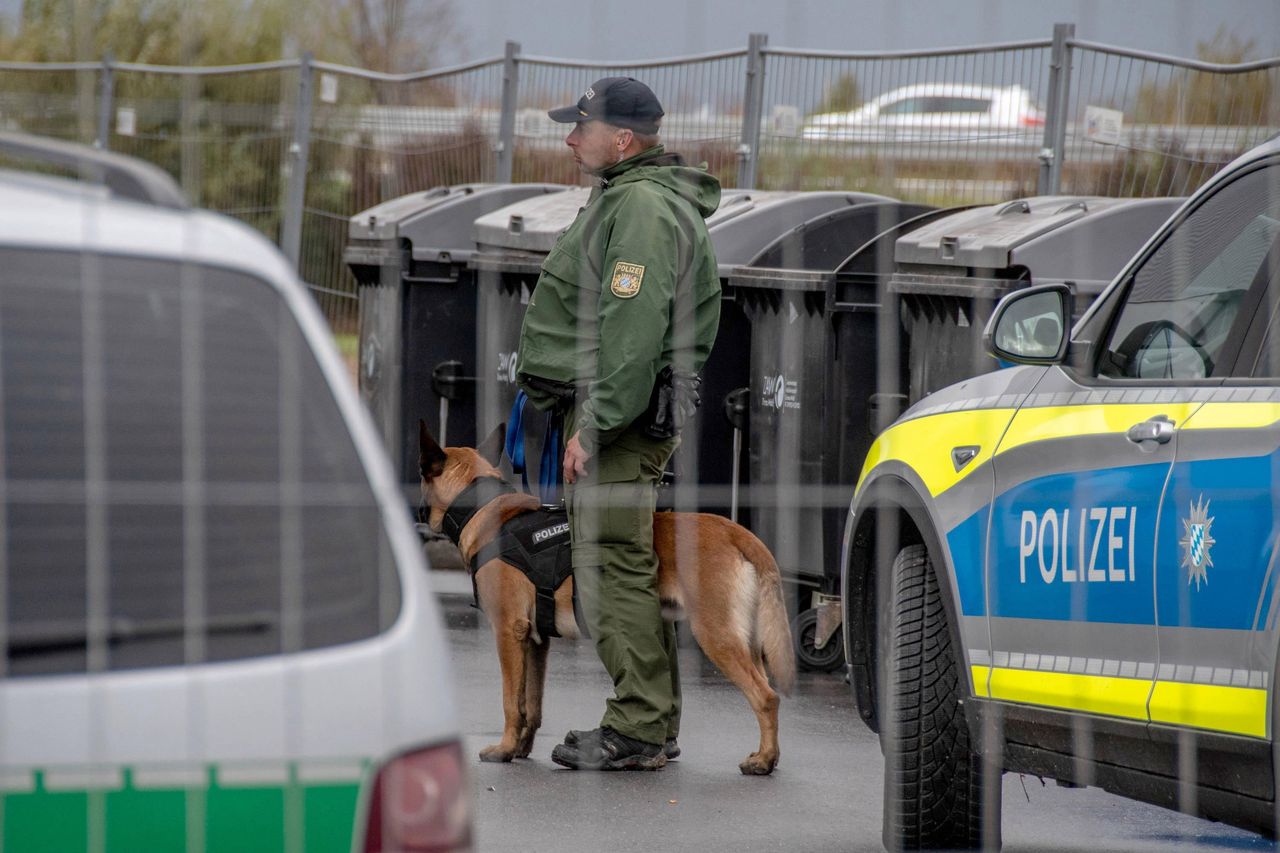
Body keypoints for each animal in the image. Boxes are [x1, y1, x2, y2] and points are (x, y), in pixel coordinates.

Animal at [417, 422, 788, 773]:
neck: (486, 512)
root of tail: (736, 531)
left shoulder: (509, 632)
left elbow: (511, 701)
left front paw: (504, 750)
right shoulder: (536, 642)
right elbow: (532, 705)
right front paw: (522, 748)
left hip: (716, 636)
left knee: (766, 696)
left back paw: (764, 760)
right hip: (746, 641)